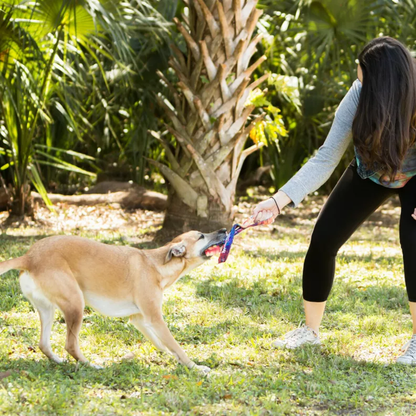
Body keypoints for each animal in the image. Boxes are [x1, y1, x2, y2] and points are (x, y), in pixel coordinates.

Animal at [0, 229, 228, 376]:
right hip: (75, 304)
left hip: (47, 310)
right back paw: (91, 366)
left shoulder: (140, 319)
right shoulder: (155, 318)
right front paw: (196, 368)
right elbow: (176, 345)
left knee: (44, 344)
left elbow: (162, 344)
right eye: (201, 236)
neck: (157, 265)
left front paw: (172, 358)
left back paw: (59, 361)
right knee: (71, 345)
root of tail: (29, 256)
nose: (224, 229)